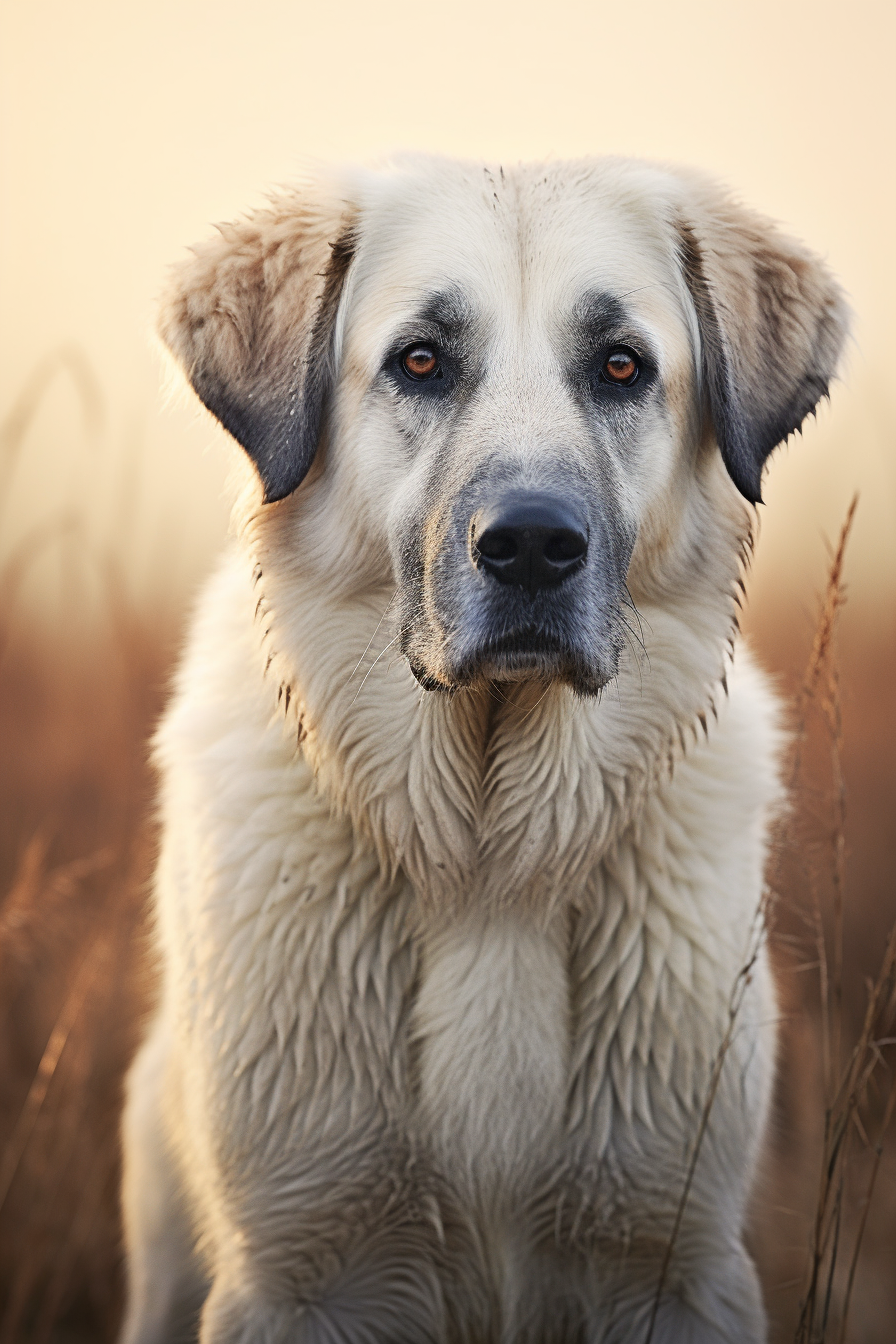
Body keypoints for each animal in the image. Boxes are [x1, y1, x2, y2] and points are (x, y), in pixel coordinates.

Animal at [118, 159, 848, 1344]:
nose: (533, 546)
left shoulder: (669, 1257)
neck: (486, 861)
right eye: (420, 360)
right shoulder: (304, 1267)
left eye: (620, 366)